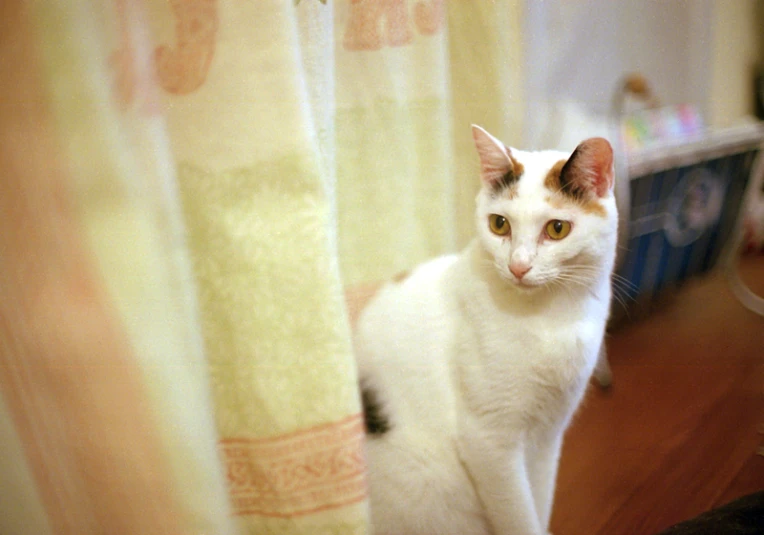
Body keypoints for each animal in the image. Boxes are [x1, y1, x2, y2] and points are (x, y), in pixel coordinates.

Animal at [356, 123, 616, 532]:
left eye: (557, 228)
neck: (552, 318)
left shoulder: (549, 436)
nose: (518, 266)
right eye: (499, 224)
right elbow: (518, 516)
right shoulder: (489, 442)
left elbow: (540, 501)